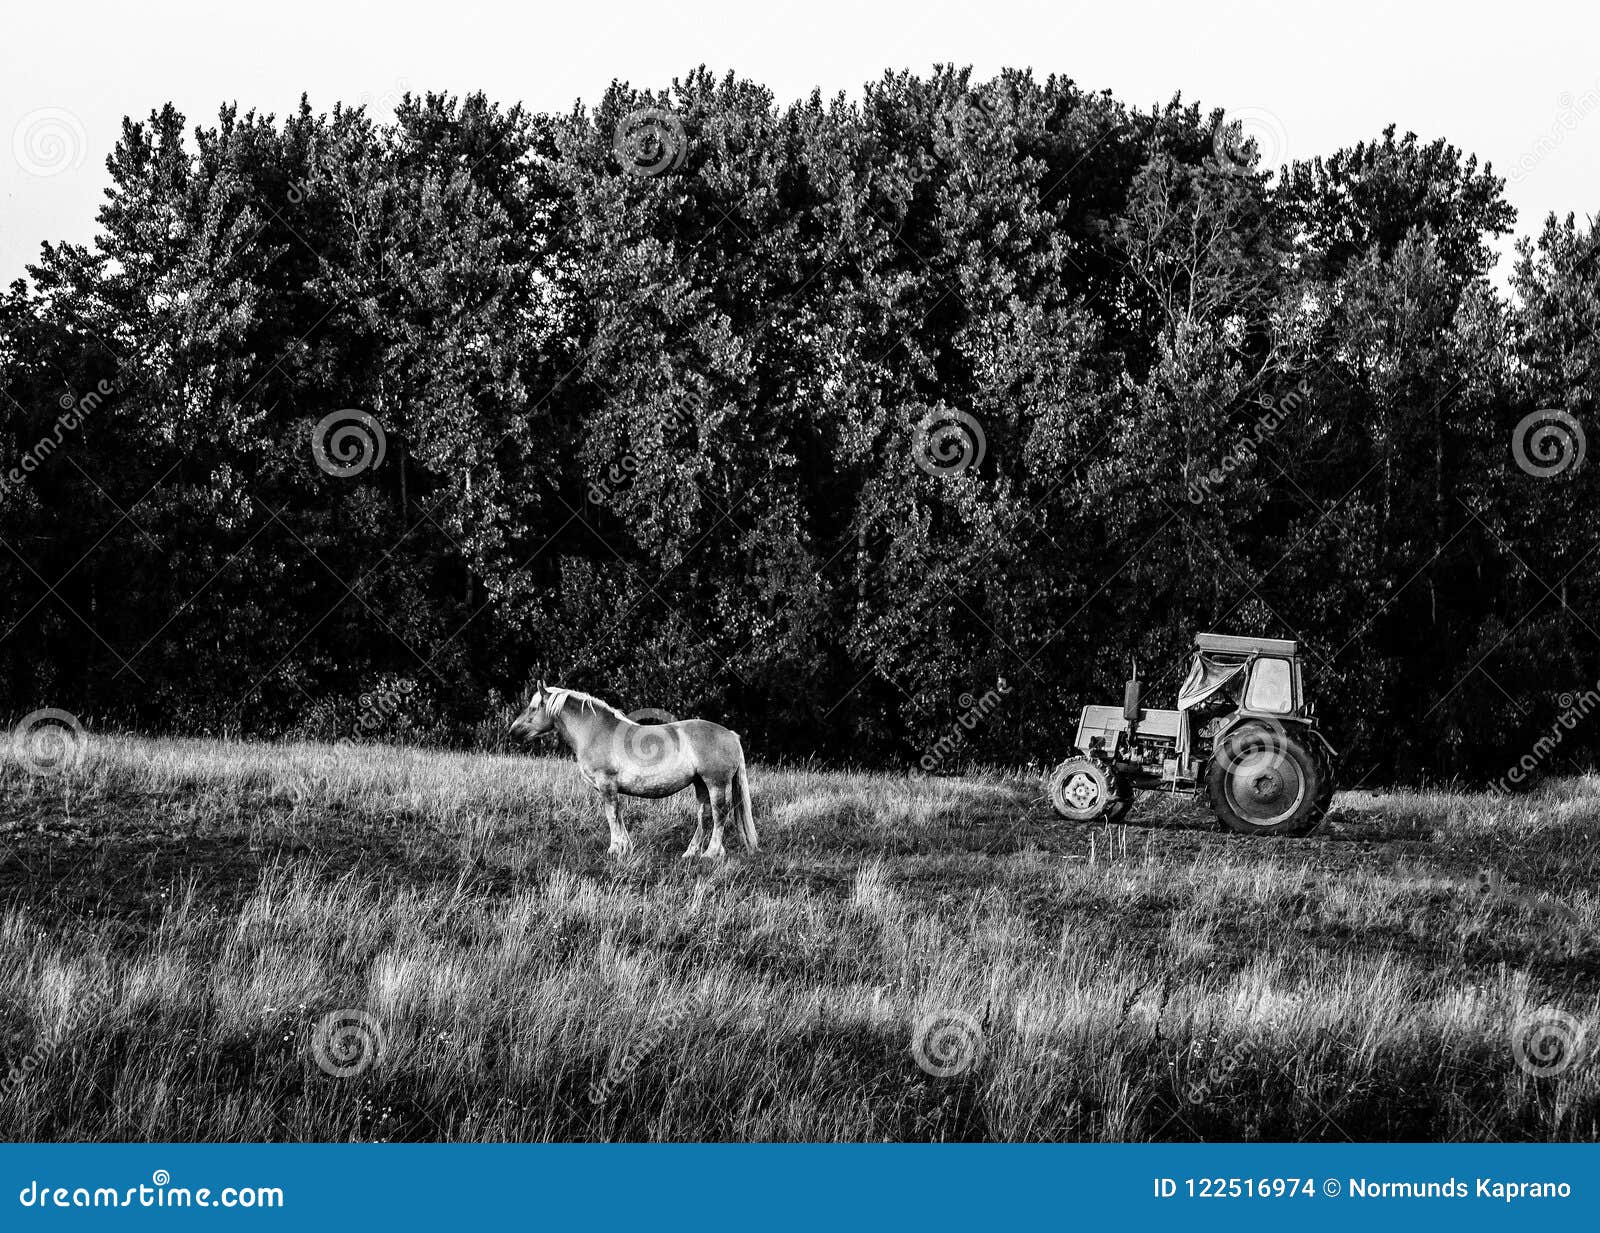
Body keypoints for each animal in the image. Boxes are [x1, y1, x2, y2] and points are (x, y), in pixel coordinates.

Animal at [508, 683, 758, 860]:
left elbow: (611, 815)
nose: (512, 731)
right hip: (700, 783)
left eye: (533, 708)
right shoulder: (611, 788)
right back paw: (691, 853)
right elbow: (618, 815)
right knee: (704, 816)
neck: (595, 731)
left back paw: (711, 853)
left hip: (716, 783)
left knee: (719, 814)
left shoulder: (606, 784)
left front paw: (614, 849)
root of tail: (730, 735)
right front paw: (625, 847)